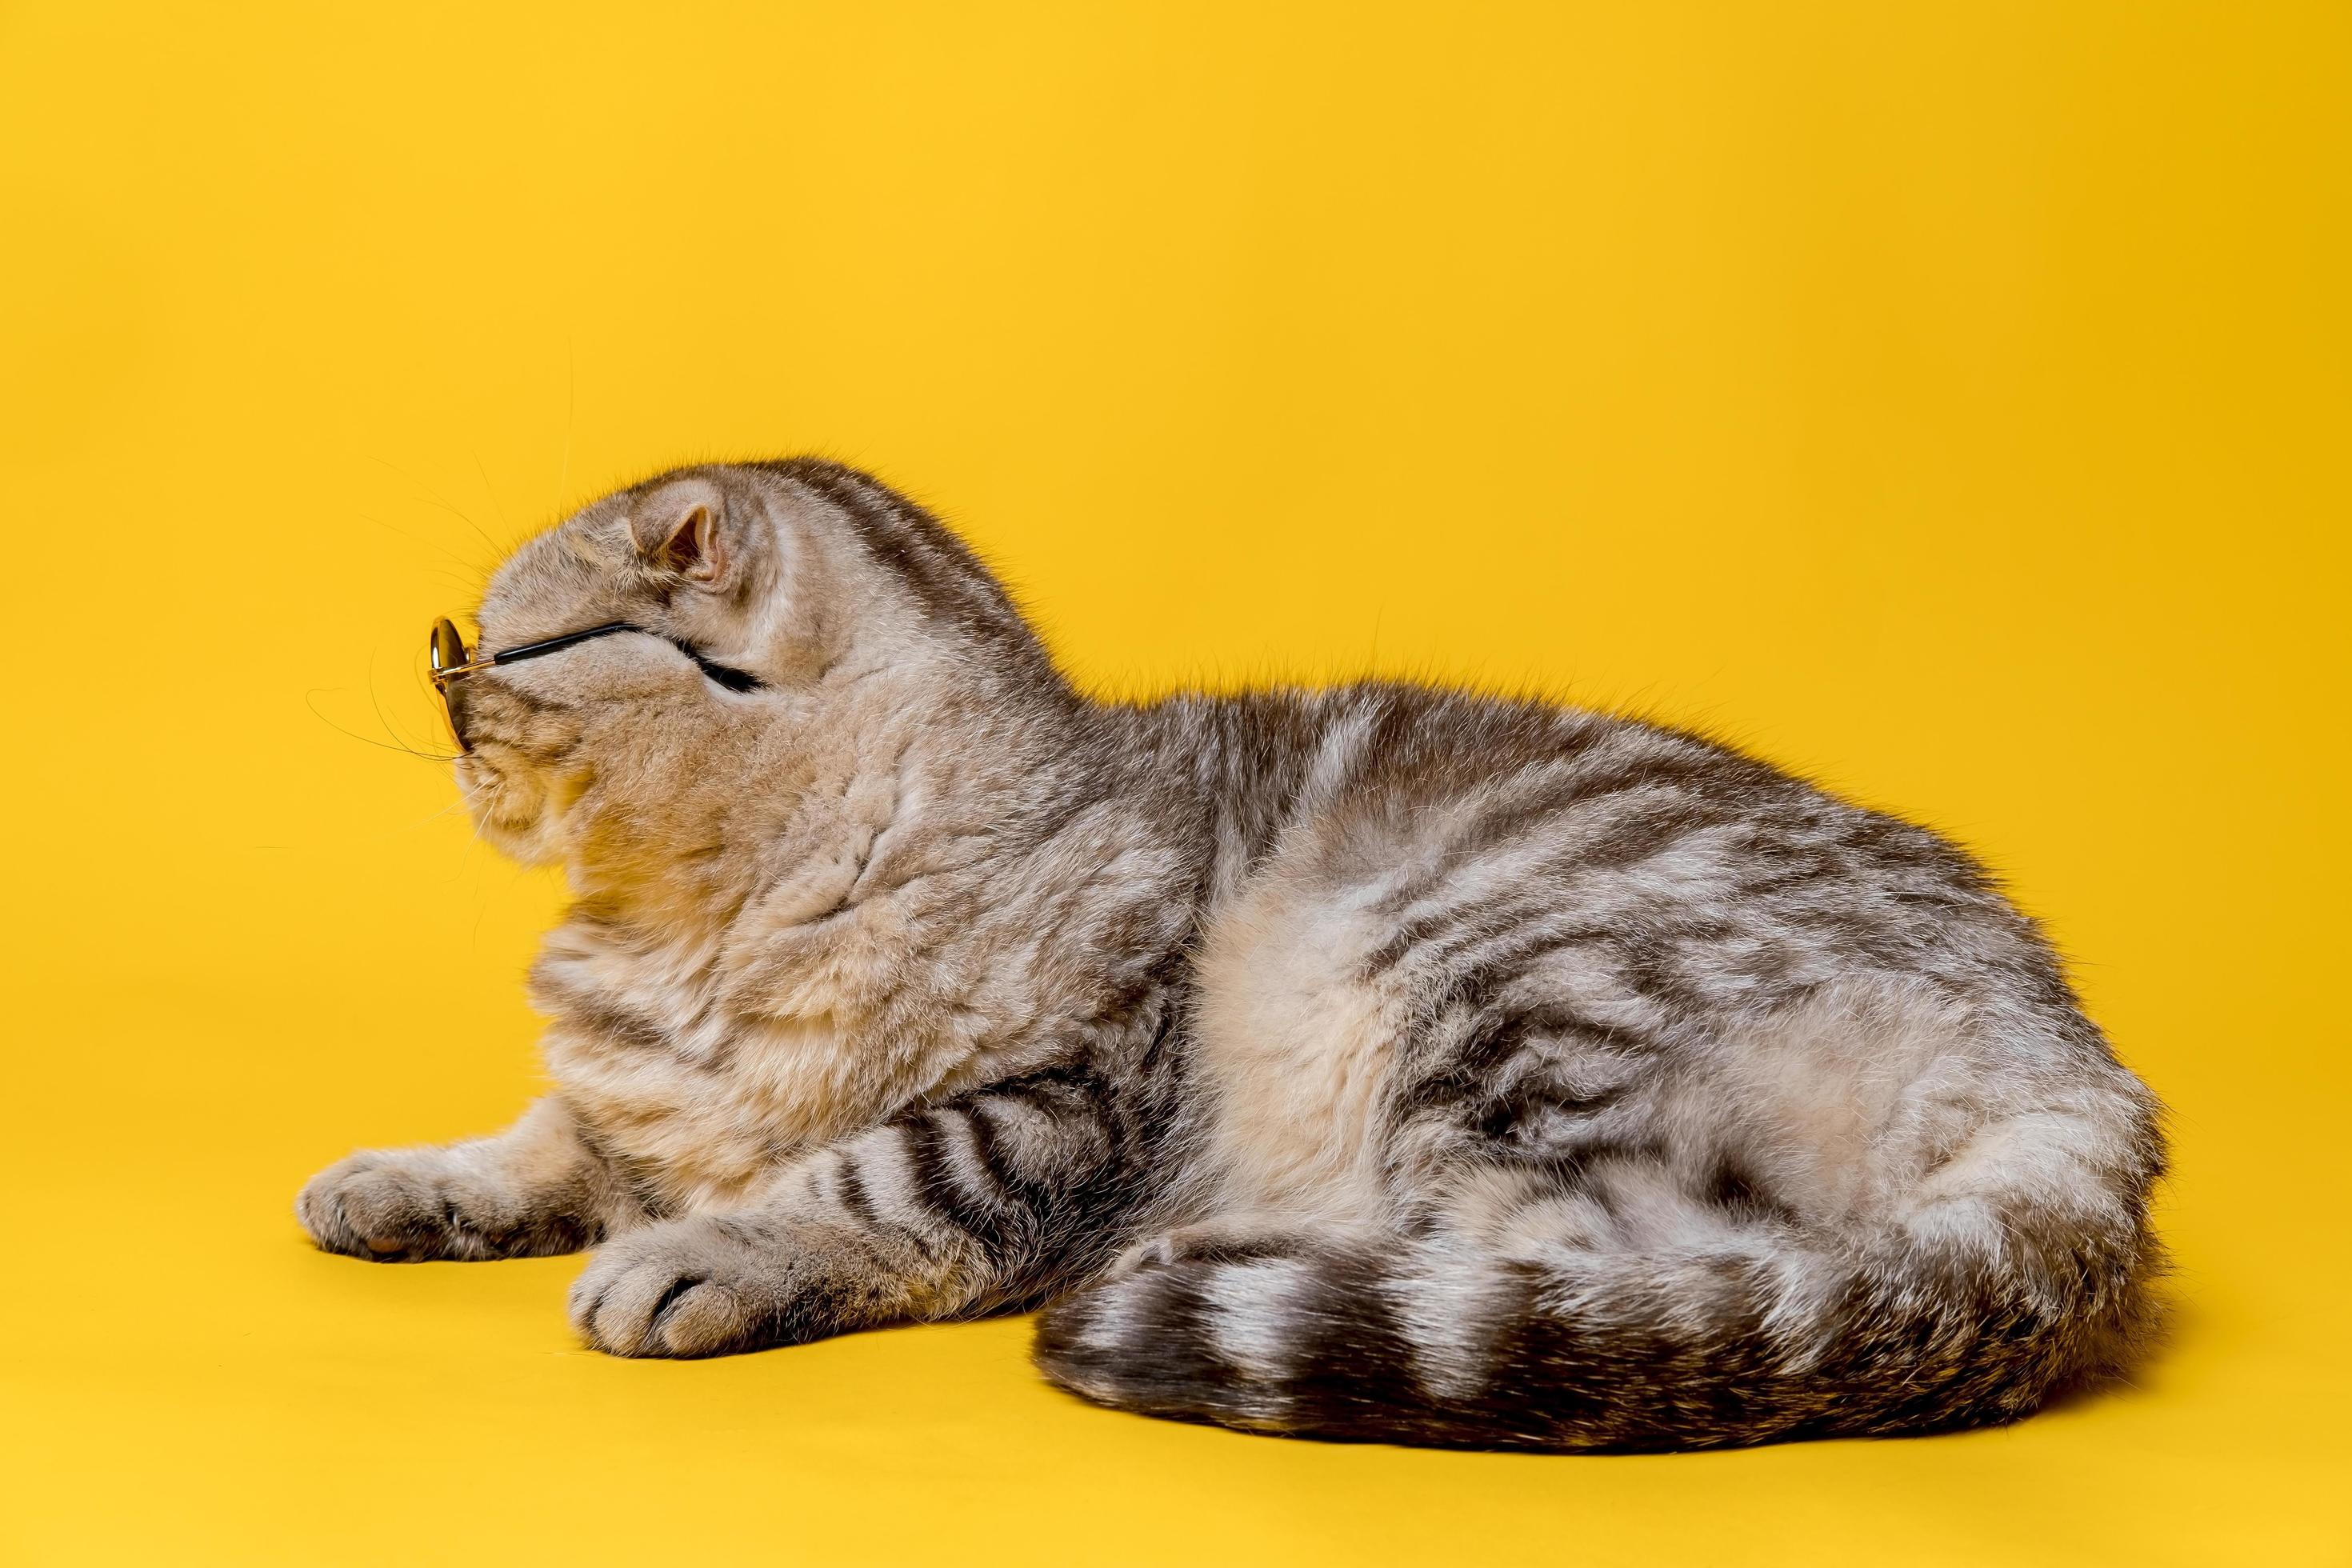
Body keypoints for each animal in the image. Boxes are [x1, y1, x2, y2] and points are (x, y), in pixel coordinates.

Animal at [294, 460, 2163, 1457]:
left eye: (488, 656)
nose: (443, 718)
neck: (683, 927)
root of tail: (2082, 1065)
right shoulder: (632, 1097)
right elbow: (550, 1133)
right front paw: (409, 1179)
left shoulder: (1064, 1100)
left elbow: (867, 1176)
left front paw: (705, 1247)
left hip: (1493, 980)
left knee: (1611, 1254)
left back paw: (1239, 1248)